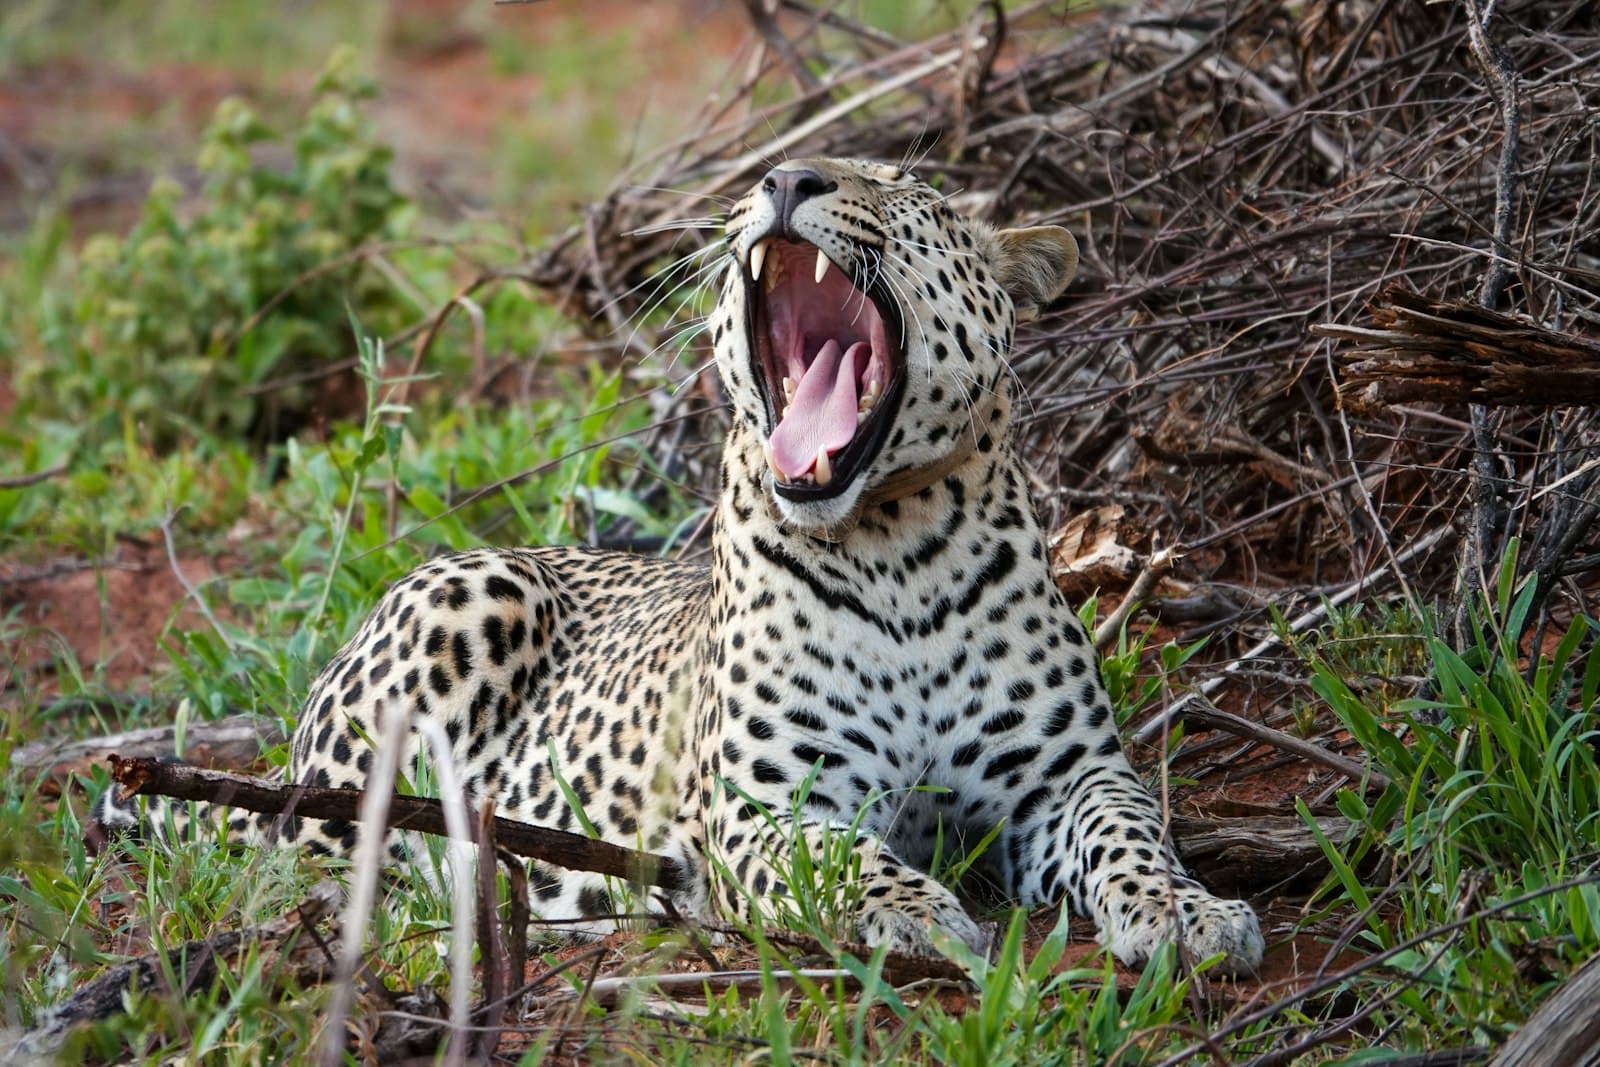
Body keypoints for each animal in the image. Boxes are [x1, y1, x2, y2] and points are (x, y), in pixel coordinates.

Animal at [99, 158, 1264, 971]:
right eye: (773, 173)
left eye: (910, 188)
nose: (786, 180)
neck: (897, 554)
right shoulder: (766, 803)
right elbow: (840, 854)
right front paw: (915, 911)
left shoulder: (1068, 775)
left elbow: (1132, 831)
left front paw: (1189, 911)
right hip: (459, 611)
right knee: (306, 845)